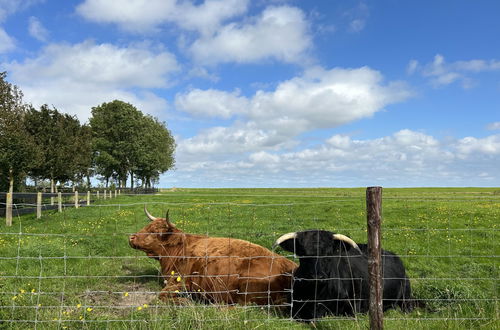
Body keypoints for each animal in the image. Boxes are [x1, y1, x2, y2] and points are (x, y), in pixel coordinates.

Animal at [129, 209, 298, 306]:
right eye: (147, 226)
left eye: (154, 231)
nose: (131, 237)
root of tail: (290, 266)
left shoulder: (179, 282)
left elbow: (161, 295)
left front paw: (186, 301)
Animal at [276, 229, 412, 320]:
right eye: (303, 253)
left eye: (329, 254)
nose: (317, 277)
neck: (316, 294)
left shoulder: (354, 305)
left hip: (405, 296)